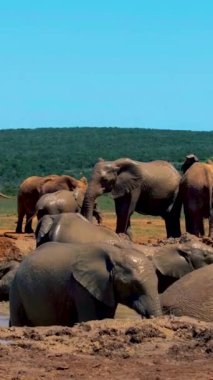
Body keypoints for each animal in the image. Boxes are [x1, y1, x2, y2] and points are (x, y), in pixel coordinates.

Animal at [8, 240, 161, 326]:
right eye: (132, 285)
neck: (115, 252)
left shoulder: (105, 287)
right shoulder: (80, 286)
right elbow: (89, 318)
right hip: (16, 289)